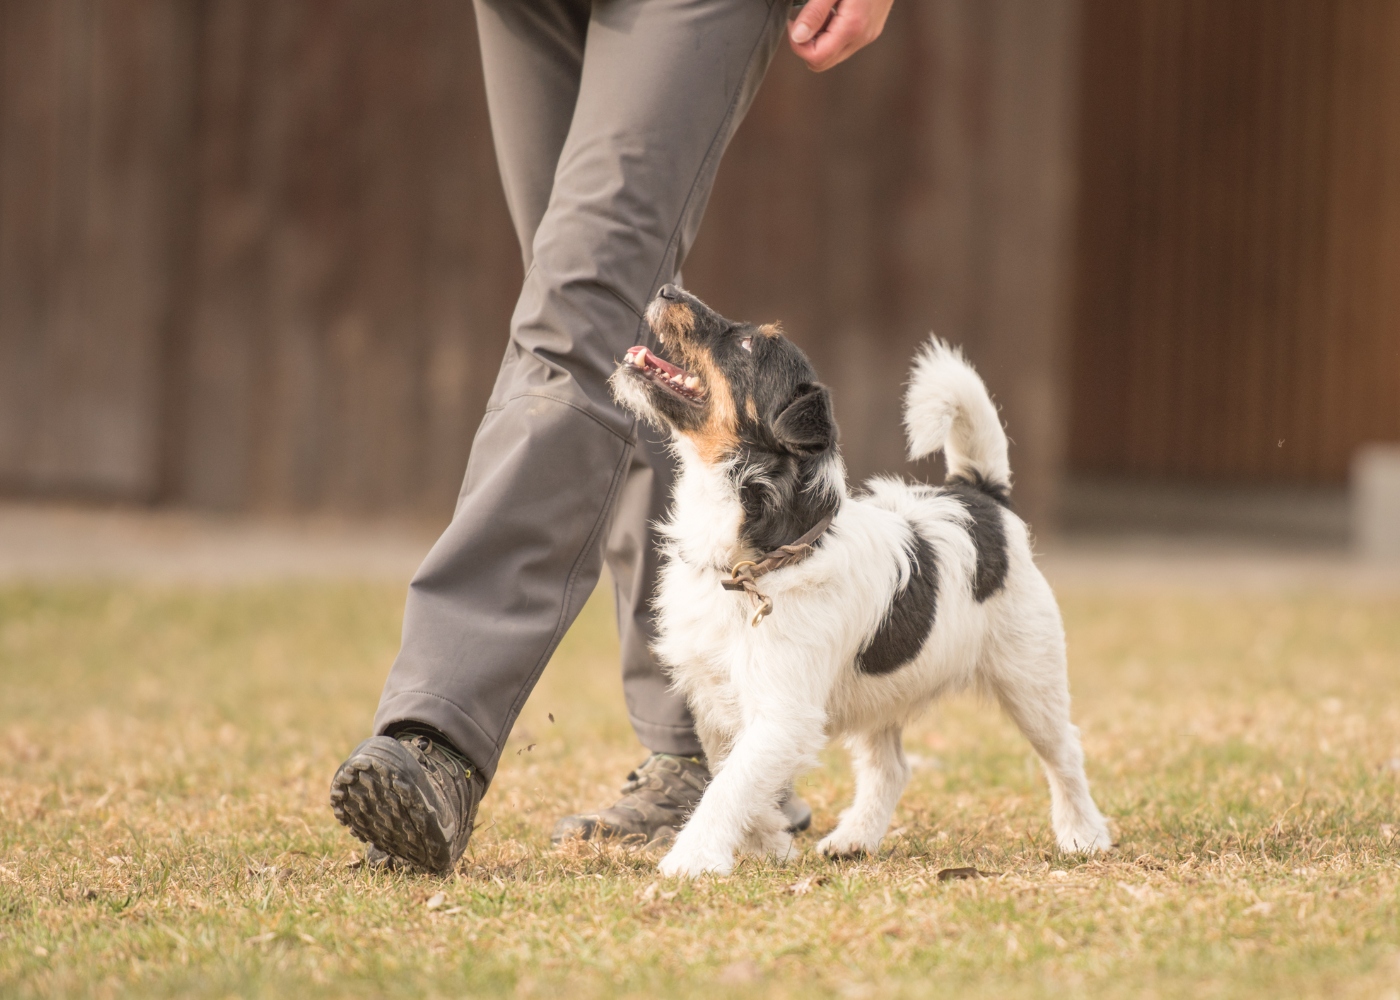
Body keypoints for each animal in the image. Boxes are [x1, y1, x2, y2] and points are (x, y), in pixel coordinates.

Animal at [607, 282, 1108, 873]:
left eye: (750, 344)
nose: (666, 288)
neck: (759, 559)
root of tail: (980, 494)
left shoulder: (783, 713)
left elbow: (729, 786)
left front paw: (693, 859)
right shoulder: (716, 698)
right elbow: (734, 772)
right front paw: (769, 841)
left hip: (1031, 677)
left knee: (1064, 752)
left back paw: (1082, 834)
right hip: (880, 692)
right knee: (890, 767)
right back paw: (855, 838)